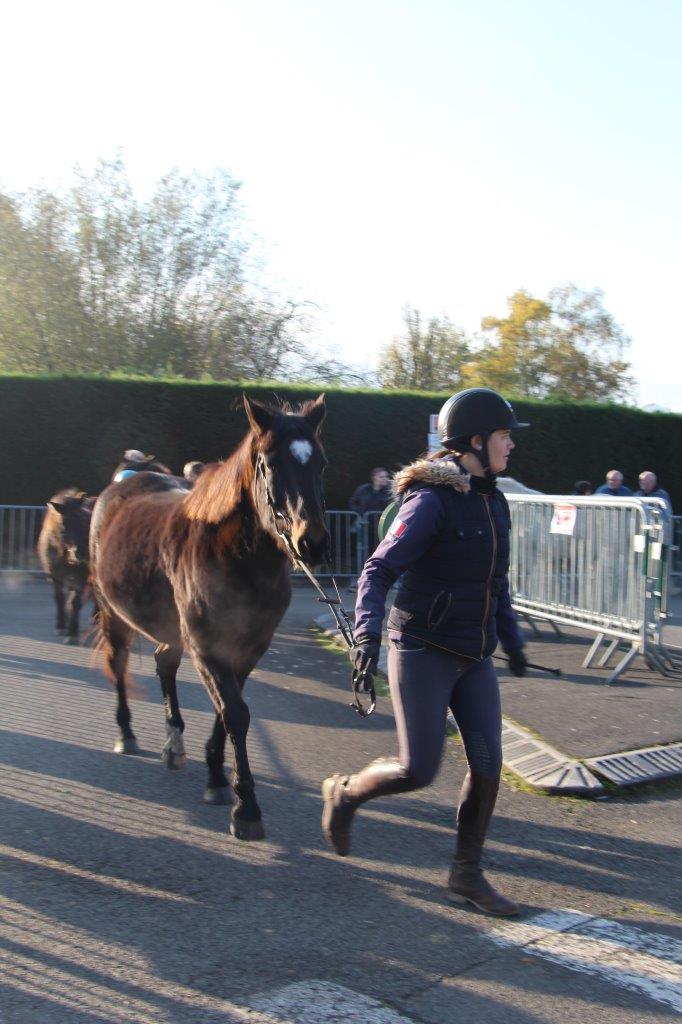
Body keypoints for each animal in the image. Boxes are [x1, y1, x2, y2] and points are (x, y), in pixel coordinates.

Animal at [37, 491, 94, 643]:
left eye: (83, 520)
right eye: (64, 524)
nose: (82, 553)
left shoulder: (80, 576)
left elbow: (75, 601)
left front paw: (72, 633)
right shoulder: (54, 575)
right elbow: (59, 598)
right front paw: (61, 625)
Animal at [89, 395, 327, 835]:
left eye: (320, 462)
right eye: (270, 463)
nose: (313, 543)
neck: (236, 557)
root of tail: (123, 483)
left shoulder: (248, 648)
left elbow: (228, 711)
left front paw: (217, 775)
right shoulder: (207, 647)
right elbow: (235, 712)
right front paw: (246, 807)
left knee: (164, 663)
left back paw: (174, 745)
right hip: (114, 615)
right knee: (119, 663)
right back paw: (126, 733)